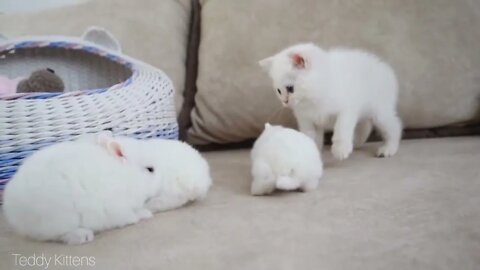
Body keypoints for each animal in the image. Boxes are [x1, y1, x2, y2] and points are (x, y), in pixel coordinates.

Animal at [258, 43, 402, 159]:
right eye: (278, 91)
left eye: (290, 88)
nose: (285, 102)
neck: (313, 99)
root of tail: (385, 68)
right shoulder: (306, 120)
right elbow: (310, 136)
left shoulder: (348, 109)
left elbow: (341, 127)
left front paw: (340, 149)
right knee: (365, 124)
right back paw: (356, 142)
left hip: (380, 111)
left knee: (395, 126)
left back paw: (388, 148)